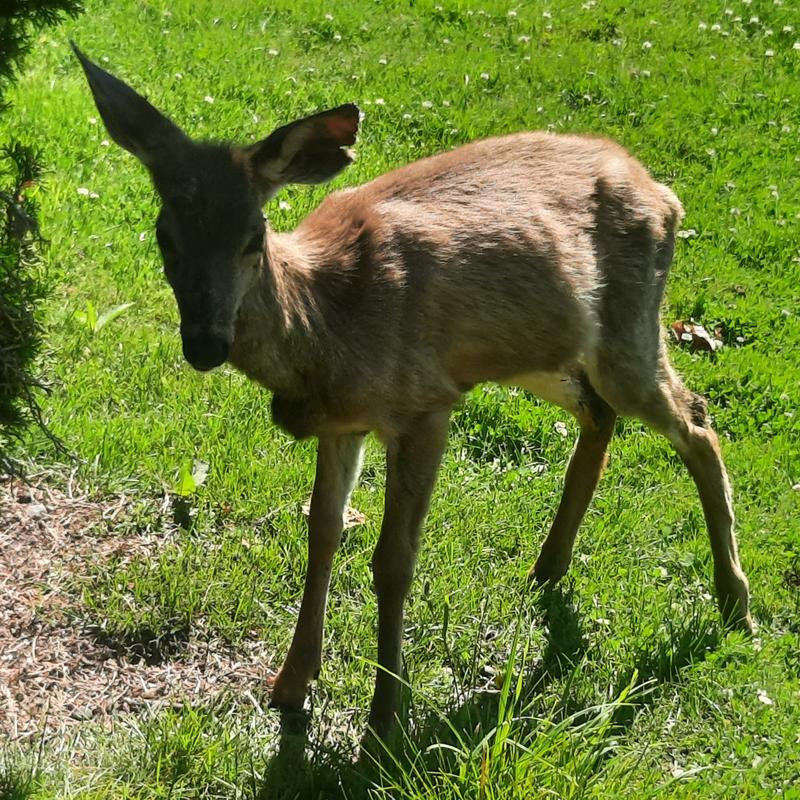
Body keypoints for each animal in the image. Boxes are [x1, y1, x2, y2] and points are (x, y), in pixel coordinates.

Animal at [72, 44, 753, 740]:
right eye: (165, 235)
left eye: (253, 237)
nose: (206, 343)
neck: (325, 323)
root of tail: (663, 192)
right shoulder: (344, 422)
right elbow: (322, 529)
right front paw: (292, 683)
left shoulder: (424, 405)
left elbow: (393, 560)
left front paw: (383, 721)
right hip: (539, 350)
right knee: (600, 414)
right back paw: (548, 567)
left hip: (629, 324)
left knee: (697, 422)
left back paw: (734, 602)